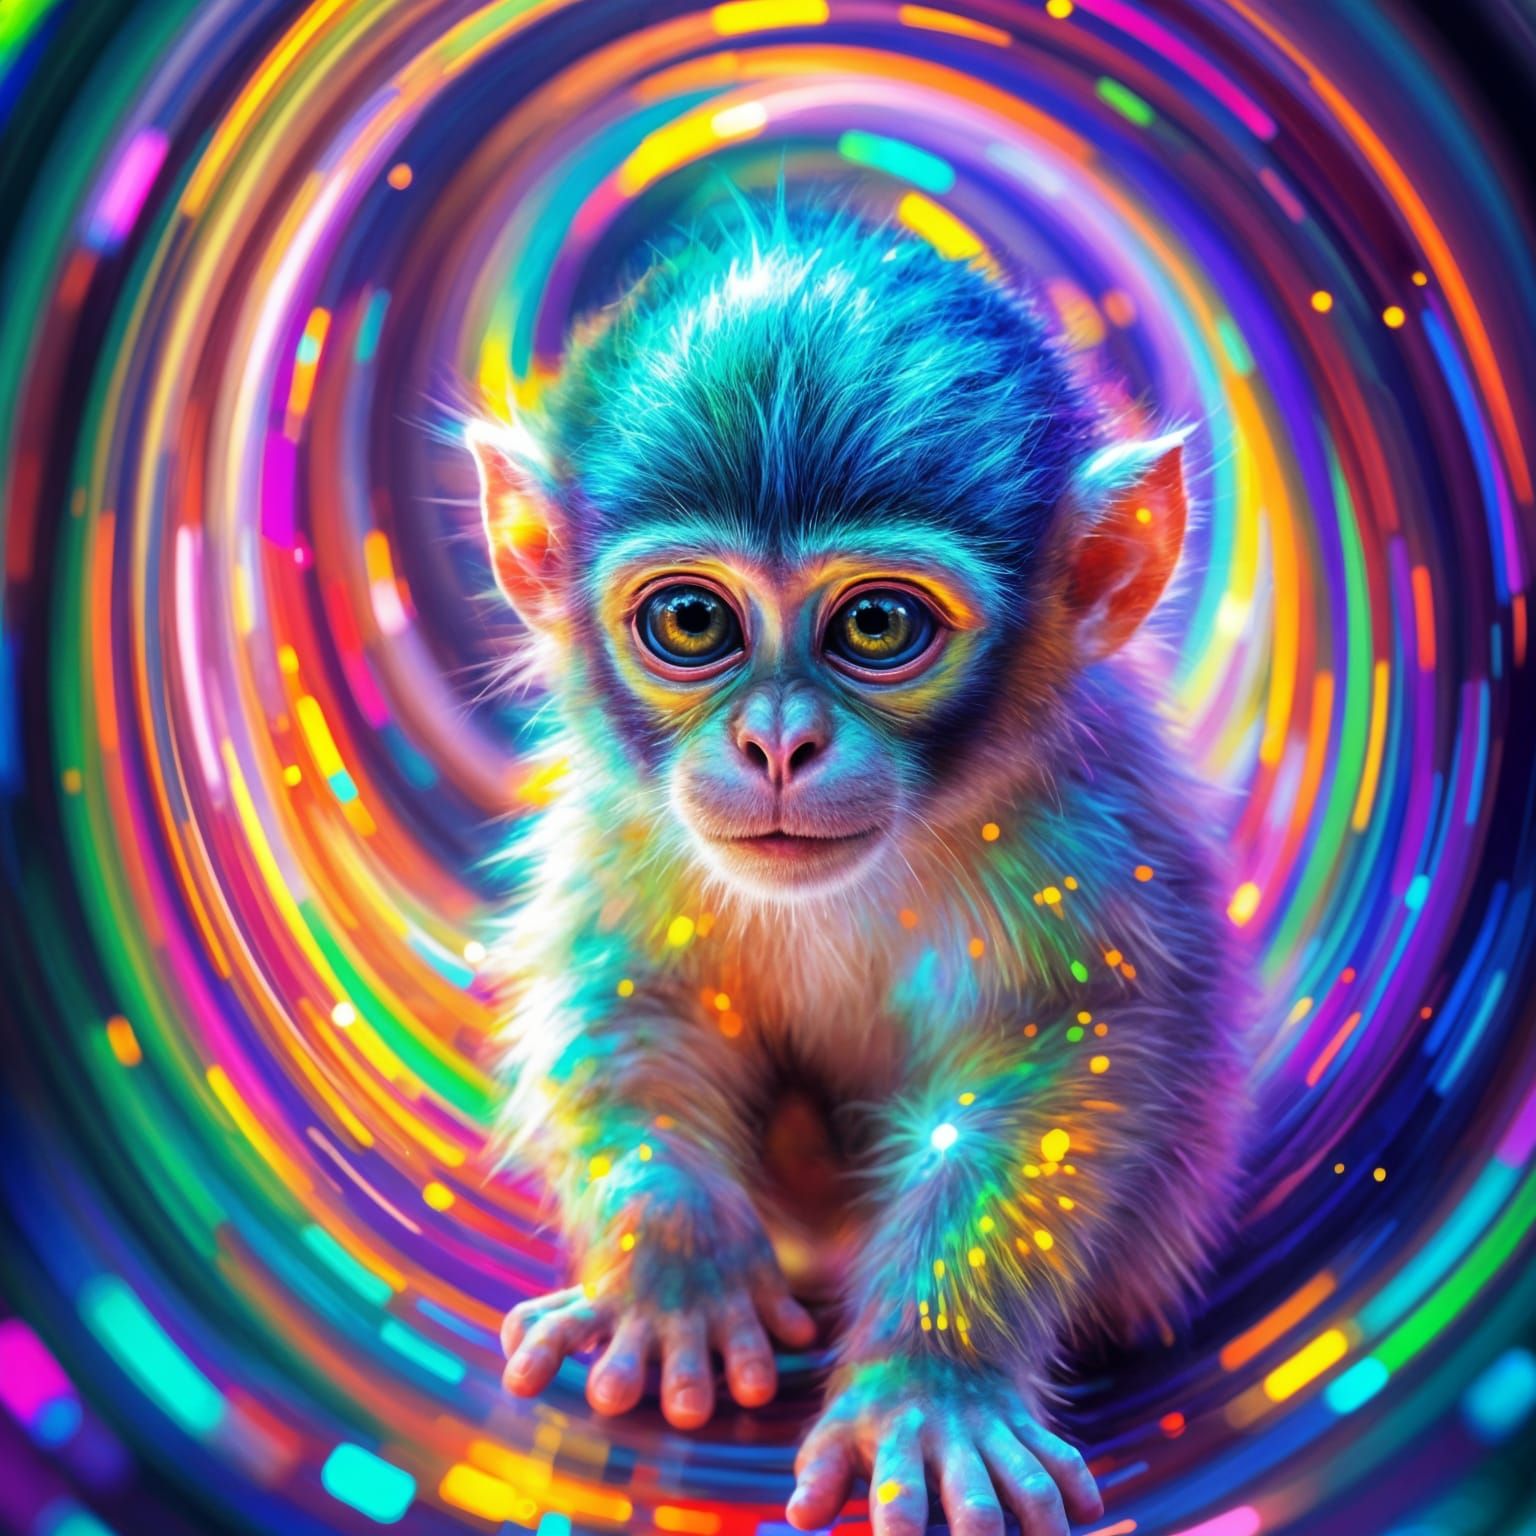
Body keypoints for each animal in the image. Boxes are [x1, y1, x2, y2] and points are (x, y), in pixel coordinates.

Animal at [470, 200, 1249, 1536]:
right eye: (692, 621)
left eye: (876, 627)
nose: (778, 743)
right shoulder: (630, 817)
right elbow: (624, 996)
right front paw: (674, 1278)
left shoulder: (1076, 829)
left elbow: (1074, 1045)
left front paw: (931, 1385)